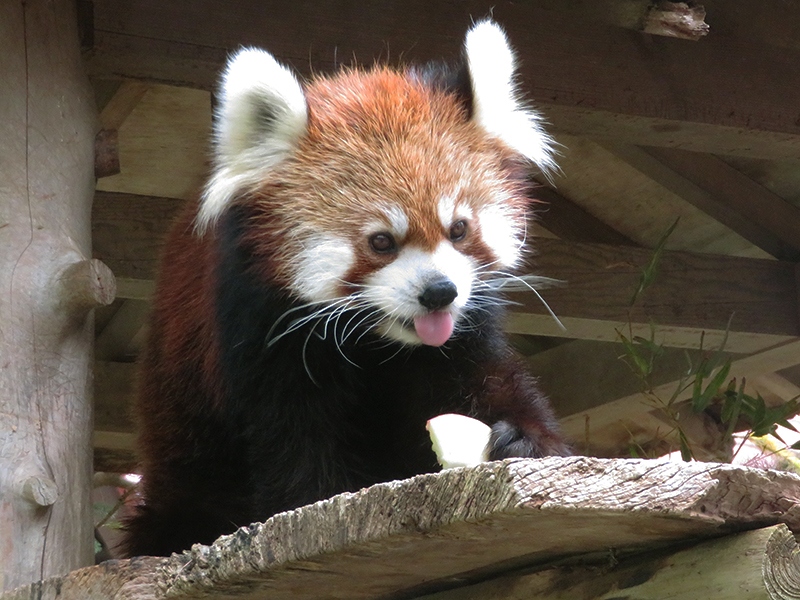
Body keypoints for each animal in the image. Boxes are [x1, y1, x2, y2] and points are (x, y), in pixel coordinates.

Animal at [122, 19, 564, 556]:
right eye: (381, 241)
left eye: (459, 229)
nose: (439, 292)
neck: (380, 343)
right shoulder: (262, 336)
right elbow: (294, 439)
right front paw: (314, 499)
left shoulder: (462, 333)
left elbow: (482, 375)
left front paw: (523, 436)